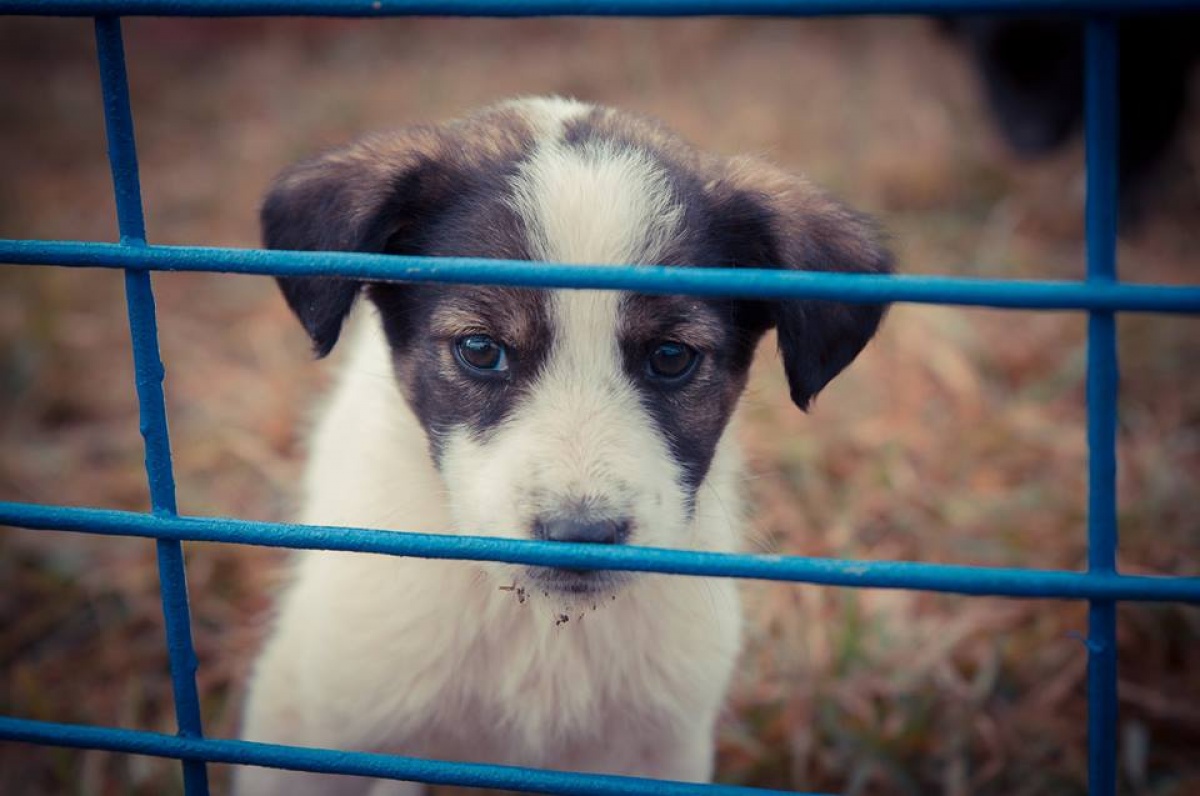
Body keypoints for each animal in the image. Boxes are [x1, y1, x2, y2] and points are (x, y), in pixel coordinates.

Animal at [236, 97, 892, 796]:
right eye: (480, 348)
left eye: (672, 357)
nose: (580, 534)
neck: (538, 626)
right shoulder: (310, 718)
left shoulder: (660, 747)